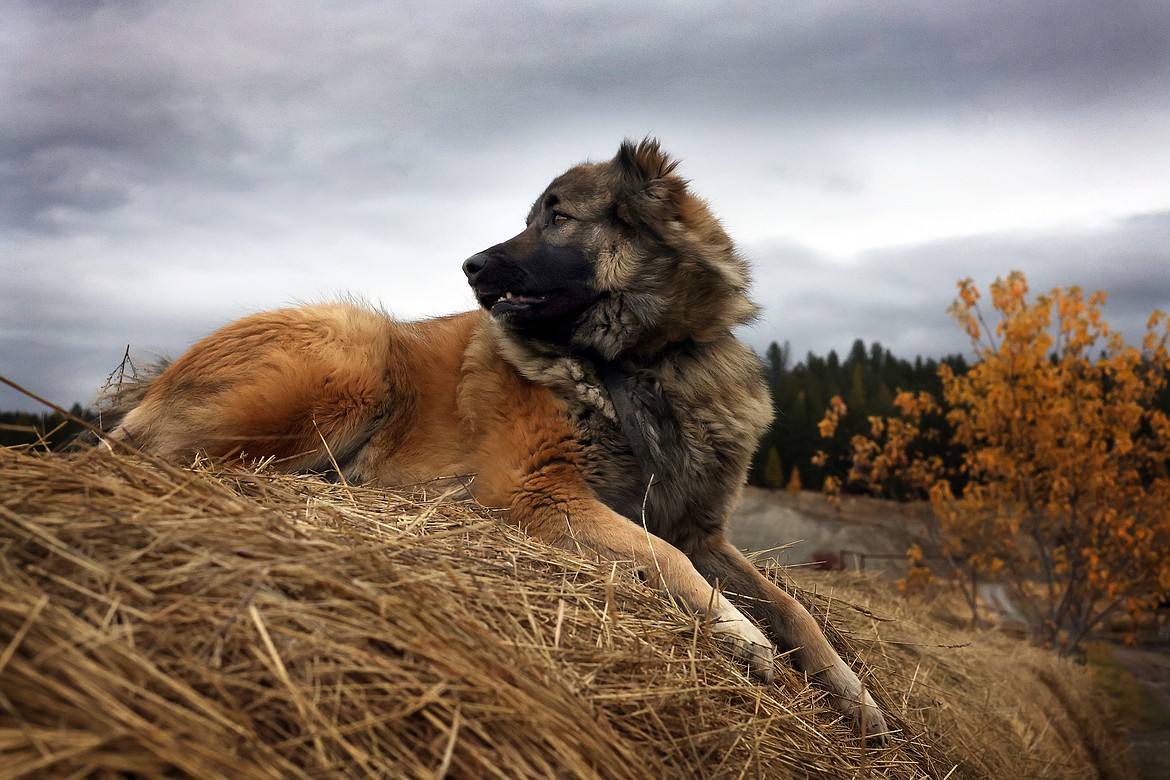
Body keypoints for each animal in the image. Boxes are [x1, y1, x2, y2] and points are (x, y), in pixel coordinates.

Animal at [109, 140, 889, 743]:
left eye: (558, 216)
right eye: (531, 216)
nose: (470, 266)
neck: (639, 362)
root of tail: (152, 384)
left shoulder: (702, 528)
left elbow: (795, 607)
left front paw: (855, 694)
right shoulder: (544, 492)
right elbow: (664, 559)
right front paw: (740, 635)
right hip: (355, 354)